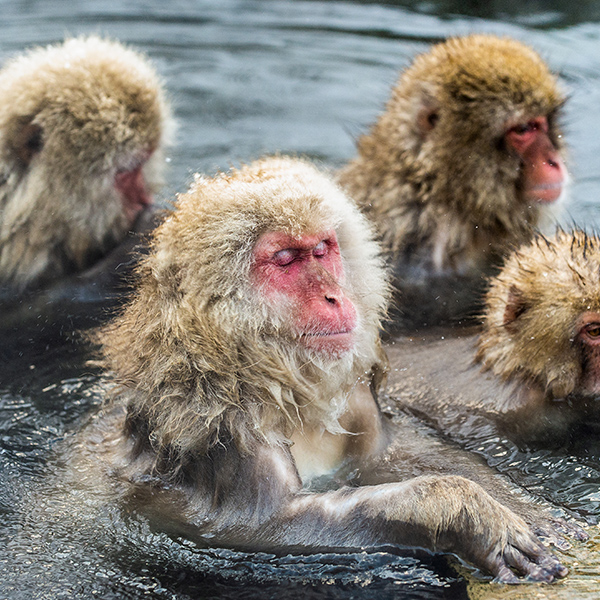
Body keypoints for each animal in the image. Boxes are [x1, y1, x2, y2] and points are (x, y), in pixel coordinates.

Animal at [79, 157, 572, 584]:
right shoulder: (218, 420)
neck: (266, 375)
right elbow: (262, 526)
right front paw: (465, 513)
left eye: (321, 249)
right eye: (285, 259)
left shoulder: (352, 390)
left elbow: (387, 455)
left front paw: (517, 505)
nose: (334, 296)